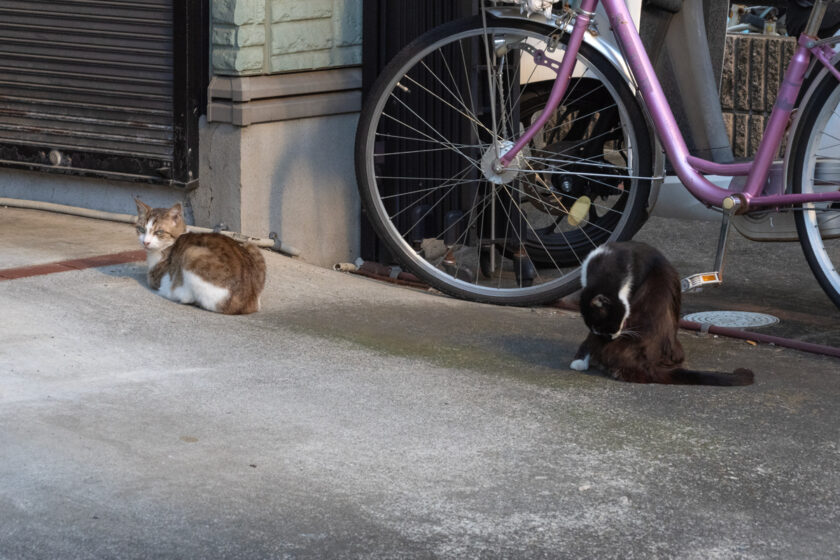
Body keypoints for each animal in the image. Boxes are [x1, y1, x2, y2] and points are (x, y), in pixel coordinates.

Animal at [135, 200, 266, 316]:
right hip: (252, 247)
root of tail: (248, 302)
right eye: (141, 229)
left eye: (159, 232)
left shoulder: (157, 277)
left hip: (191, 253)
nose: (145, 242)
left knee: (189, 298)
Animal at [572, 241, 756, 384]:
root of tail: (647, 365)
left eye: (615, 327)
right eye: (604, 331)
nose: (611, 338)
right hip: (676, 350)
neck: (607, 266)